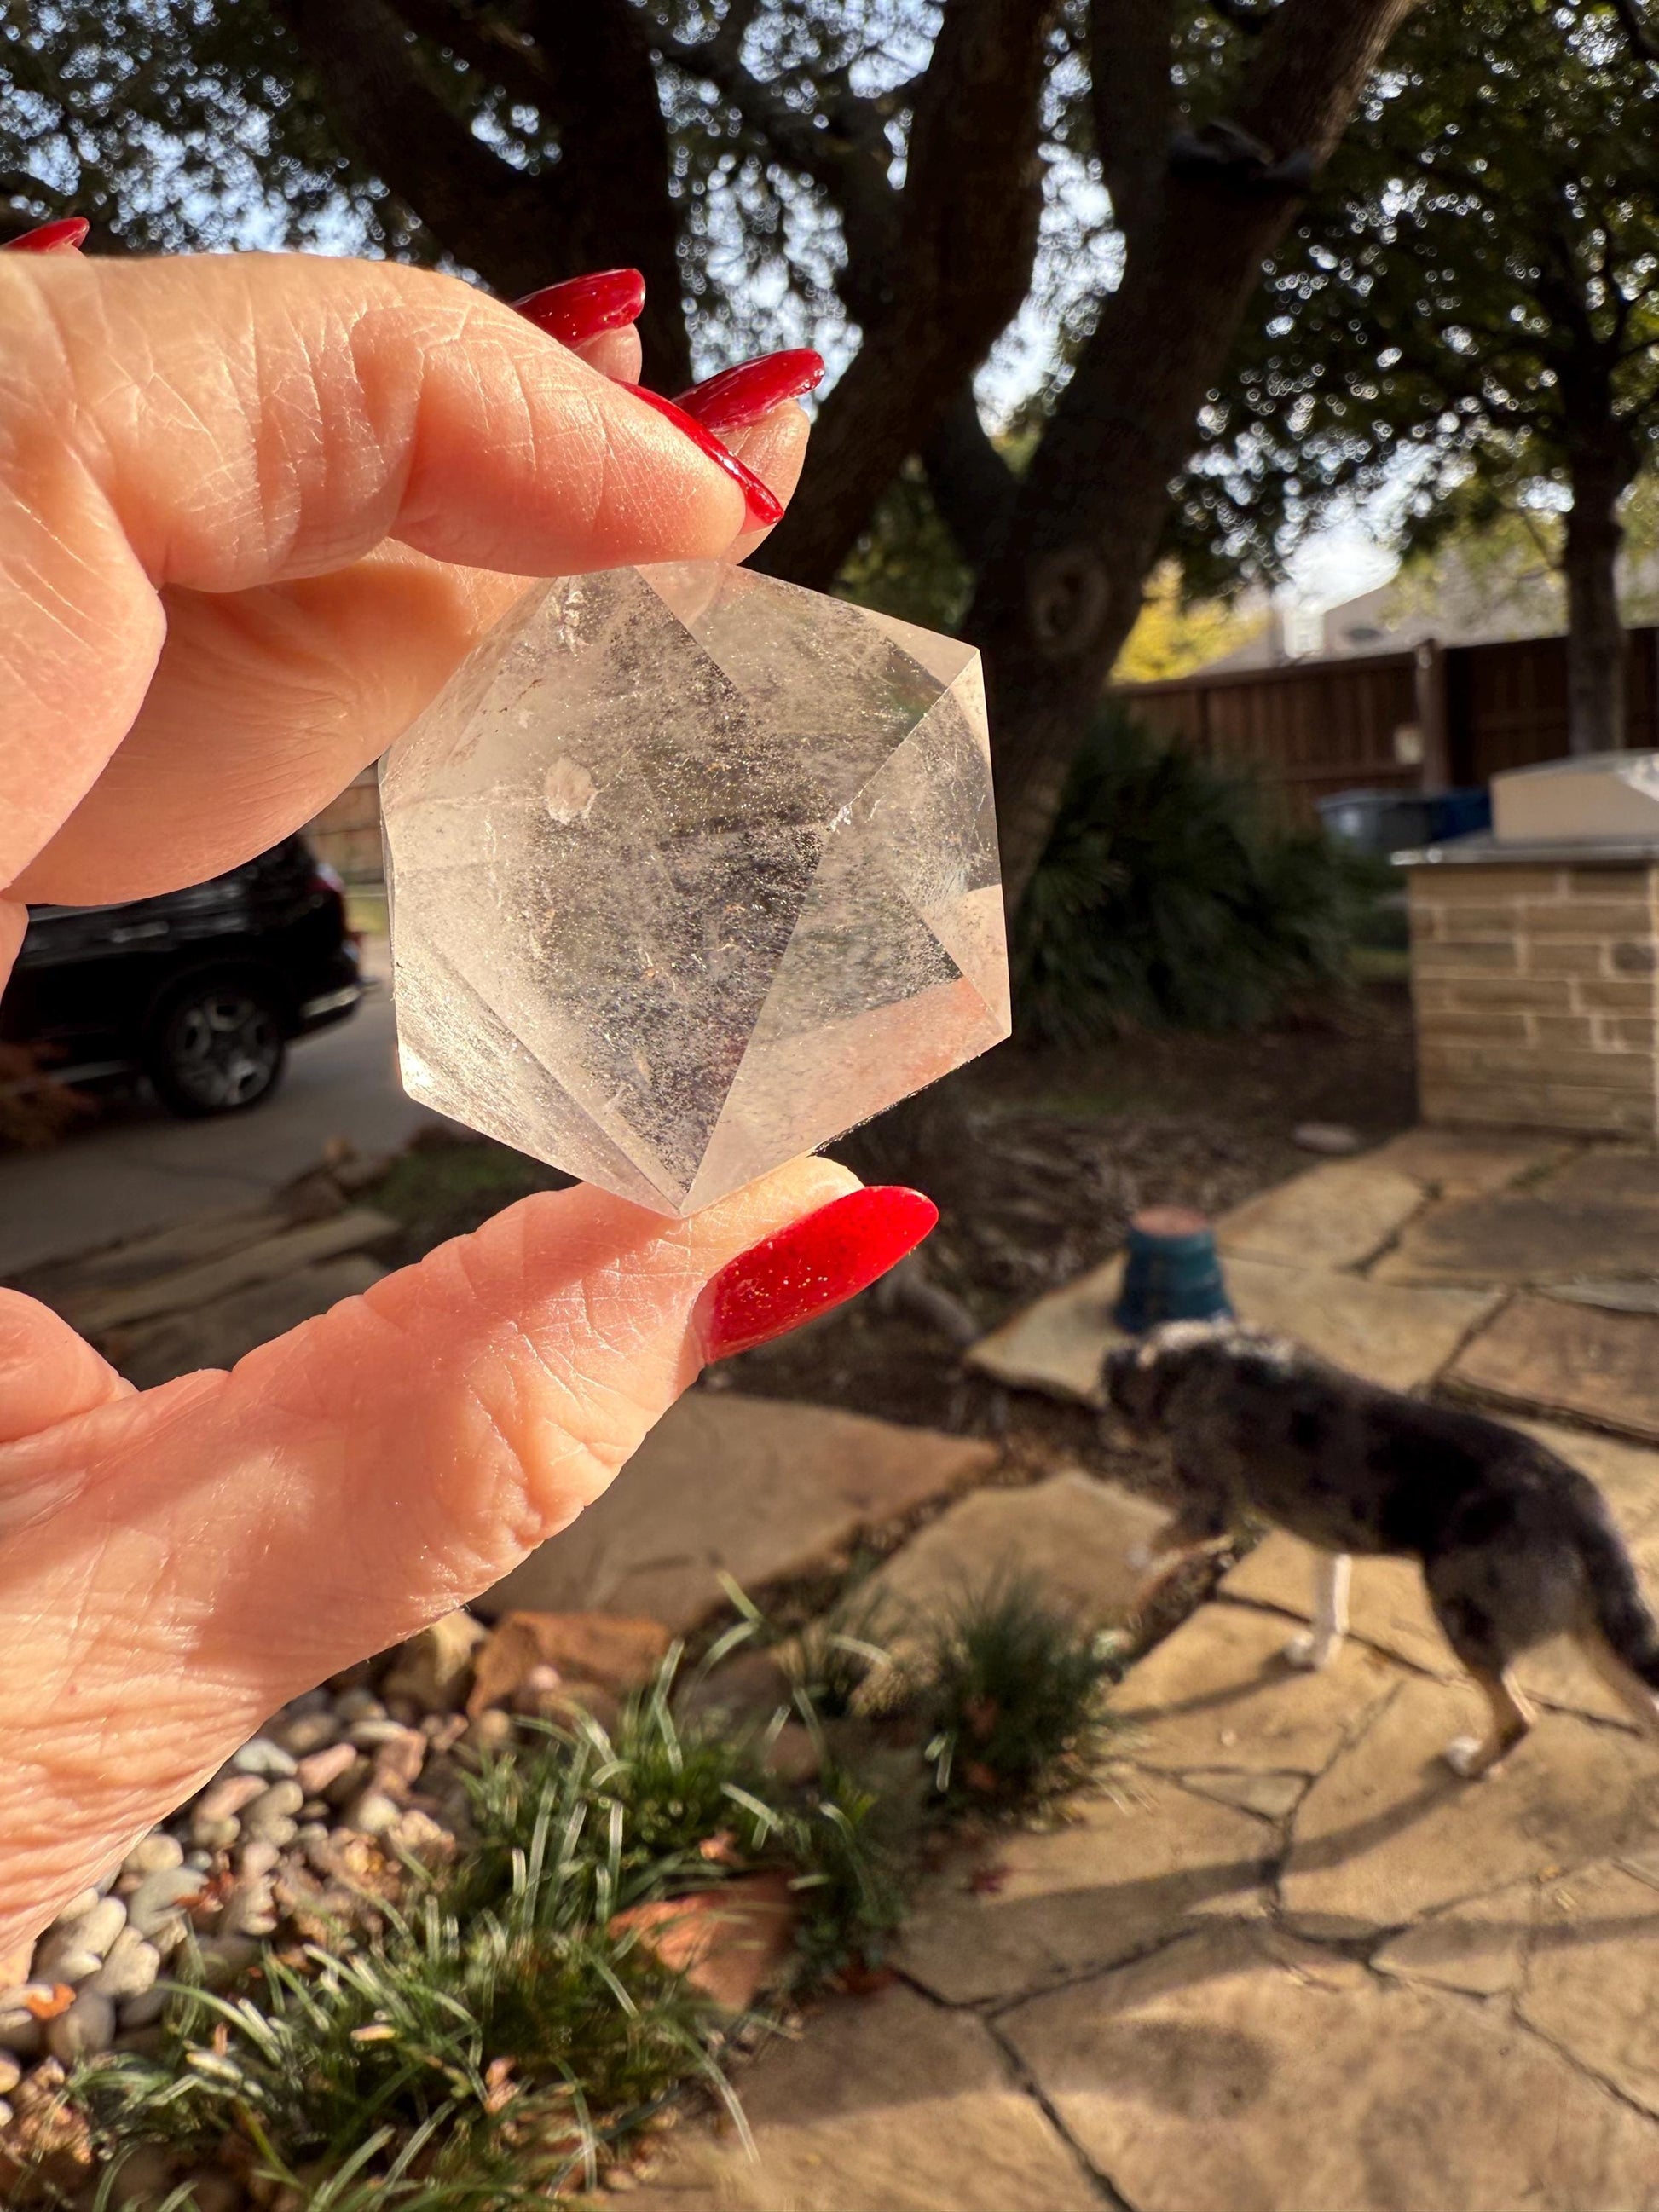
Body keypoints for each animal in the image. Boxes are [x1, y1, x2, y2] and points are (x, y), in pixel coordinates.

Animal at [1106, 1318, 1659, 1770]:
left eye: (1111, 1401)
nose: (1107, 1441)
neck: (1196, 1362)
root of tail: (1577, 1498)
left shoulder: (1212, 1512)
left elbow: (1156, 1539)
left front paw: (1133, 1561)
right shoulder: (1328, 1541)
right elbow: (1329, 1611)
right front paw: (1315, 1657)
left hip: (1466, 1620)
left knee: (1518, 1718)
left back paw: (1469, 1762)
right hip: (1594, 1637)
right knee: (1648, 1712)